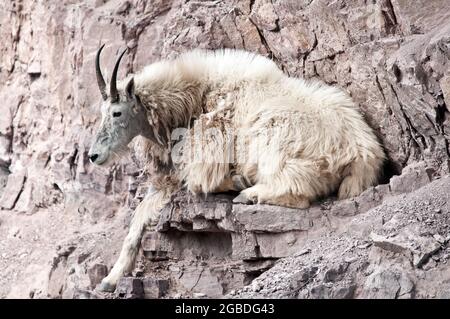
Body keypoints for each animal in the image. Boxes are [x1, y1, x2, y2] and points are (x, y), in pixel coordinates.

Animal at [89, 44, 384, 292]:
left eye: (116, 112)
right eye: (101, 112)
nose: (93, 155)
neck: (192, 98)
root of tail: (362, 153)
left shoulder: (206, 151)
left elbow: (198, 181)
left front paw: (236, 179)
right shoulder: (168, 178)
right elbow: (139, 216)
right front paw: (110, 279)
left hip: (275, 137)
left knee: (296, 190)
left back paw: (249, 192)